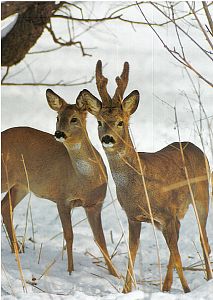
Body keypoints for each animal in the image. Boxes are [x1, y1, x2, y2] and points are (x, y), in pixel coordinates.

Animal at [1, 88, 118, 278]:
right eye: (57, 117)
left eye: (74, 119)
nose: (59, 133)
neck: (85, 180)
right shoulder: (62, 199)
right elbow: (69, 236)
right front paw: (70, 271)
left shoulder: (95, 204)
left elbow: (100, 239)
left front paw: (115, 274)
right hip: (6, 178)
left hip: (21, 185)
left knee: (5, 207)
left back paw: (17, 250)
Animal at [77, 60, 213, 292]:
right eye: (99, 122)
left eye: (121, 122)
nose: (107, 138)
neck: (139, 183)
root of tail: (197, 148)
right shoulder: (134, 216)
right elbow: (133, 252)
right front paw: (125, 290)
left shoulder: (166, 213)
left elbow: (177, 254)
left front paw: (187, 290)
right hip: (177, 213)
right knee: (181, 239)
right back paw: (166, 286)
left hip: (202, 195)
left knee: (203, 239)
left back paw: (206, 279)